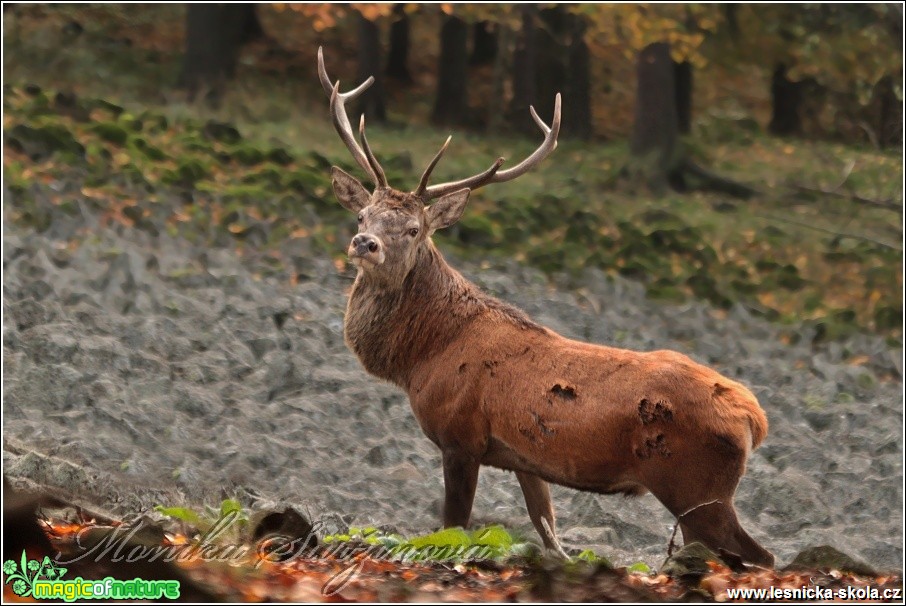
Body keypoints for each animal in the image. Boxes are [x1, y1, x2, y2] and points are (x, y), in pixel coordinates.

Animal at [316, 47, 768, 568]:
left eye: (414, 229)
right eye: (362, 214)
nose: (365, 244)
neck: (422, 358)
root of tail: (754, 418)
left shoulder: (460, 437)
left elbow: (454, 526)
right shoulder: (522, 458)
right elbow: (548, 530)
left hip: (696, 487)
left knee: (760, 556)